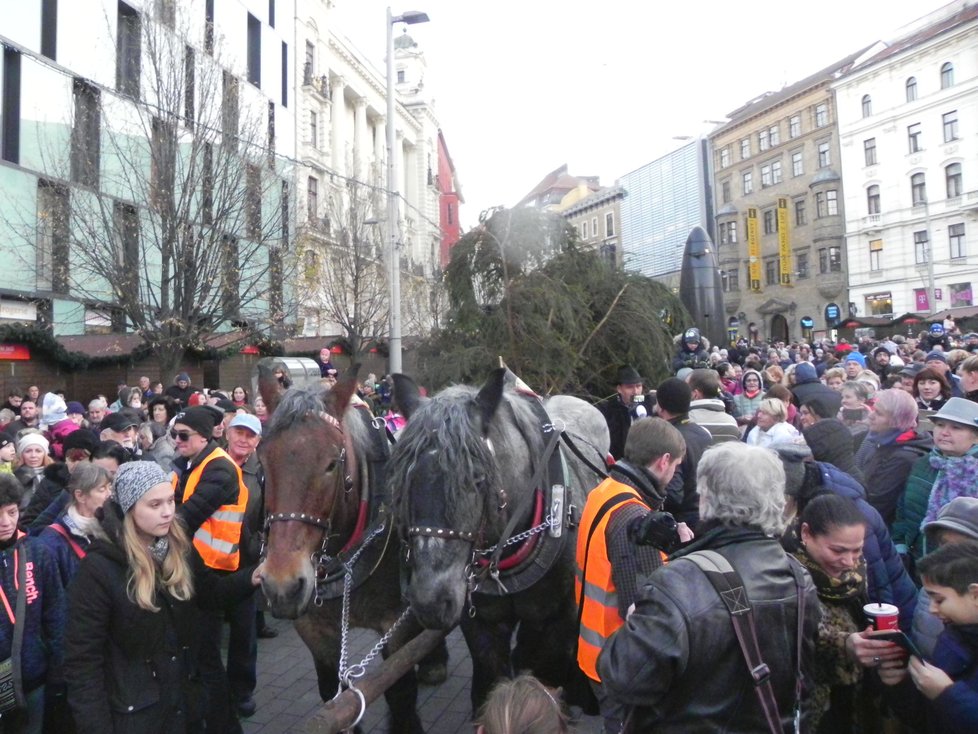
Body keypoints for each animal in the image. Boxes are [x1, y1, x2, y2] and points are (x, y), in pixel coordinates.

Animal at [255, 366, 424, 732]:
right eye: (262, 460)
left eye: (332, 463)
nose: (282, 585)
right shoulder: (315, 631)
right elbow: (335, 699)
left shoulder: (395, 624)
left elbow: (400, 690)